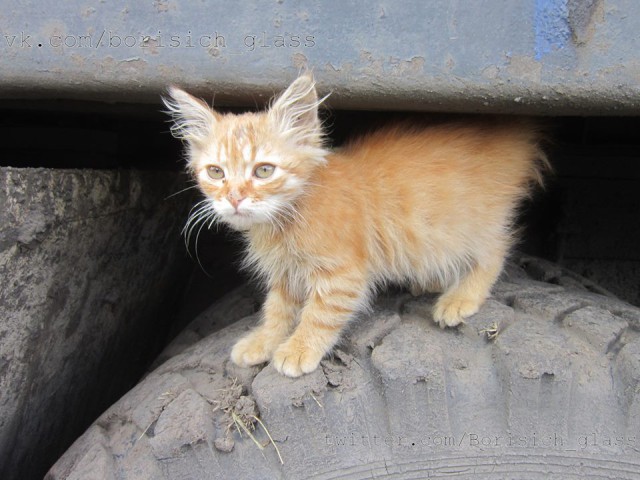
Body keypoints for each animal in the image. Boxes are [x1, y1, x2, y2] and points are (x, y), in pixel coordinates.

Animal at [162, 73, 548, 376]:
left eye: (264, 170)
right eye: (216, 172)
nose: (234, 198)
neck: (288, 217)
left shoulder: (341, 275)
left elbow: (319, 314)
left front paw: (299, 349)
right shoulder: (286, 274)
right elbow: (277, 310)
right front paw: (264, 341)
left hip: (470, 221)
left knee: (496, 248)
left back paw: (461, 296)